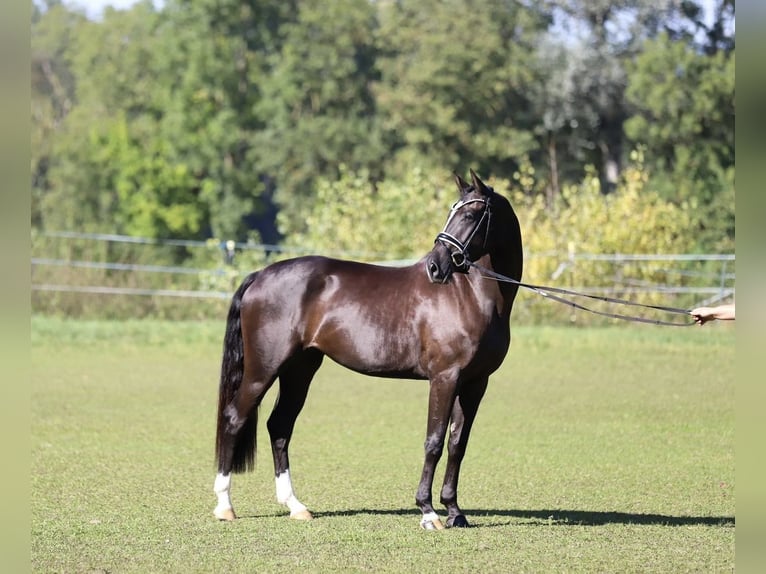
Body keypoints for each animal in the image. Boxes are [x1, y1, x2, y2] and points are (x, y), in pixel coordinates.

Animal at [213, 169, 523, 529]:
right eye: (452, 212)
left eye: (471, 215)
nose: (434, 267)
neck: (470, 296)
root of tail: (260, 275)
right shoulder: (445, 378)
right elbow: (433, 441)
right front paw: (428, 512)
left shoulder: (475, 383)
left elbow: (457, 444)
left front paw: (455, 512)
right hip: (263, 369)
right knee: (234, 418)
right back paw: (225, 506)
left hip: (300, 369)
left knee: (279, 425)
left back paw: (296, 506)